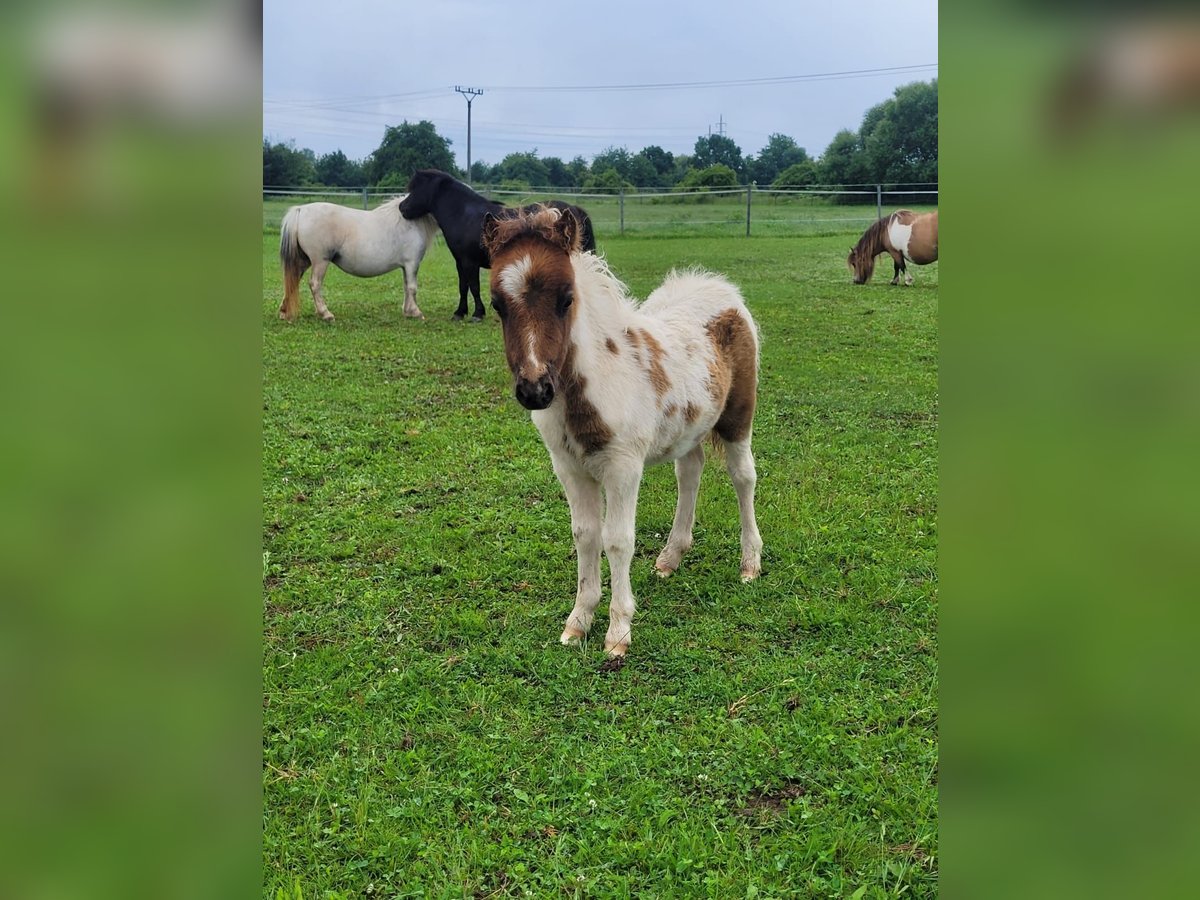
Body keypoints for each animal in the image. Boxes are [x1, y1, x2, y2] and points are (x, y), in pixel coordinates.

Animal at [279, 195, 441, 321]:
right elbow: (412, 288)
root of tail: (301, 209)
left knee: (293, 281)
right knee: (315, 284)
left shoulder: (405, 266)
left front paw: (407, 311)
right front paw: (416, 312)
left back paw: (284, 311)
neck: (410, 221)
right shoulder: (412, 263)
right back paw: (326, 314)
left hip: (304, 261)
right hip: (320, 261)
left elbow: (406, 287)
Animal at [398, 170, 595, 321]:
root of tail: (574, 209)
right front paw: (460, 312)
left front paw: (477, 314)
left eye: (415, 189)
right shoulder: (460, 262)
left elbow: (474, 287)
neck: (464, 215)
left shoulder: (470, 262)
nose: (402, 208)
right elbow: (463, 287)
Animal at [477, 206, 758, 657]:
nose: (535, 390)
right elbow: (585, 535)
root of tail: (716, 285)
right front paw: (578, 622)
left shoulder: (623, 466)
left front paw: (618, 633)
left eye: (566, 299)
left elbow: (618, 539)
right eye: (497, 305)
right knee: (690, 472)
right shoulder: (568, 468)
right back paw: (670, 558)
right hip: (688, 425)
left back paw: (750, 563)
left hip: (737, 417)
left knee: (743, 477)